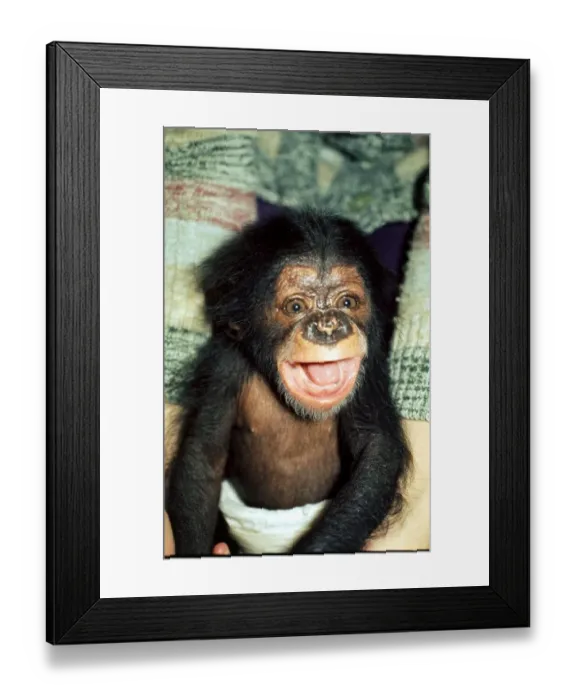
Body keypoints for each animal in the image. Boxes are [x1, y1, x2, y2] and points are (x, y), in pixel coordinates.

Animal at [165, 209, 411, 556]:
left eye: (347, 303)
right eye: (296, 306)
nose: (328, 325)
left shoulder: (370, 370)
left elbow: (375, 453)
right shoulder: (223, 369)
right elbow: (203, 458)